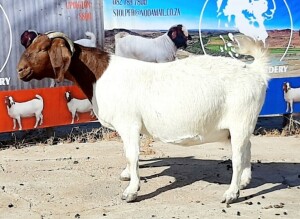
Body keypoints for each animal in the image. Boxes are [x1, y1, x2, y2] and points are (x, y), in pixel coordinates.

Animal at [18, 33, 270, 204]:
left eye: (42, 48)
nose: (20, 69)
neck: (101, 75)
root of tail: (255, 71)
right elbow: (128, 155)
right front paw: (127, 175)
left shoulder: (128, 123)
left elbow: (131, 154)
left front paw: (131, 191)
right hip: (238, 126)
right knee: (247, 148)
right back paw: (245, 181)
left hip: (240, 120)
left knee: (237, 157)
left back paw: (231, 193)